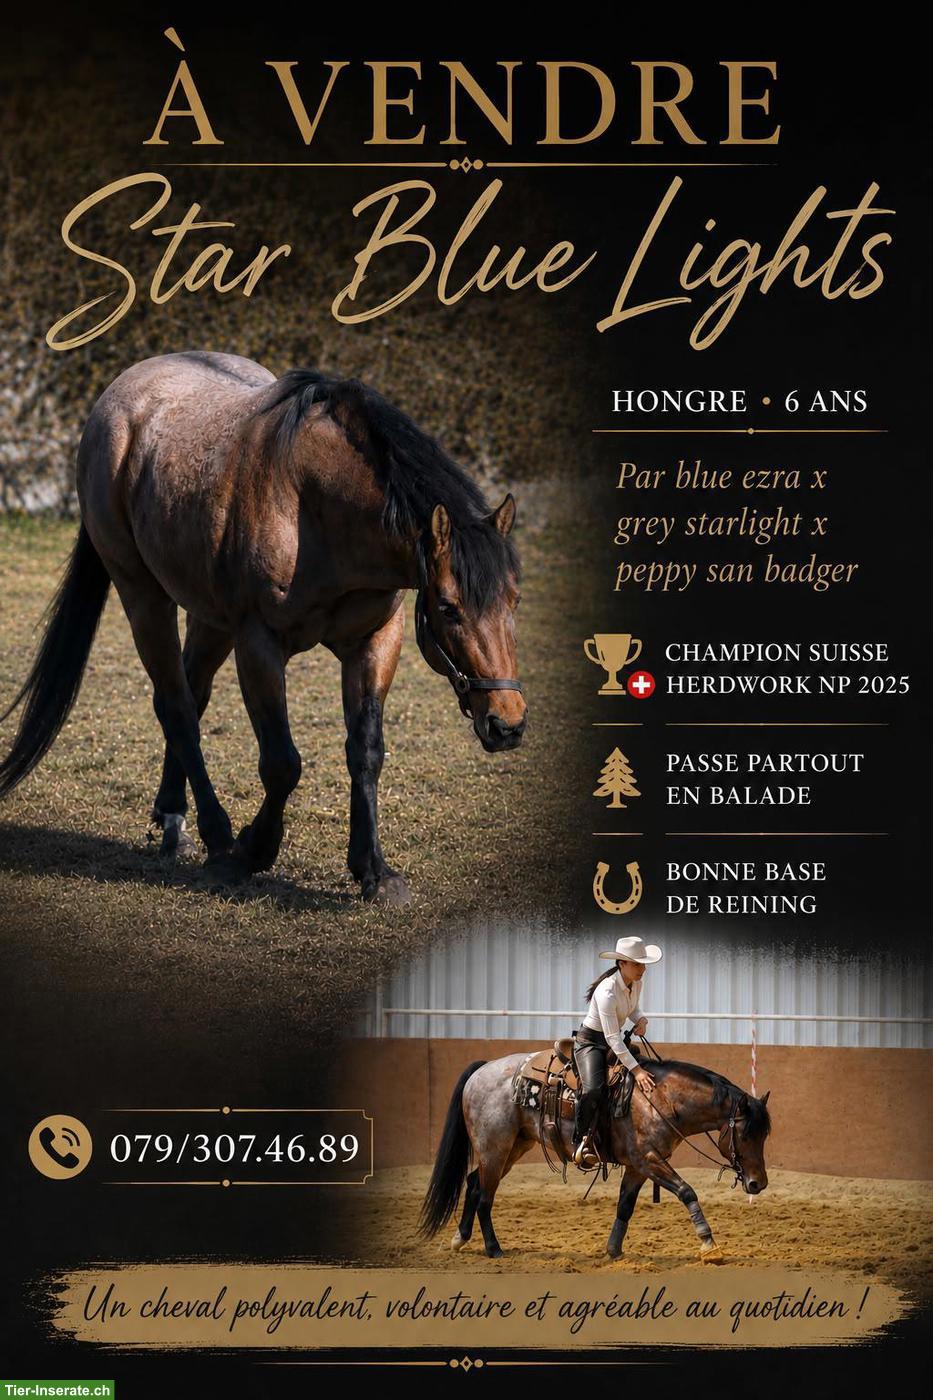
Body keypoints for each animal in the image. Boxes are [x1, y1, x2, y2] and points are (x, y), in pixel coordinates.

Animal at [0, 352, 526, 903]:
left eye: (515, 597)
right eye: (448, 607)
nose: (507, 723)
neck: (316, 506)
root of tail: (121, 394)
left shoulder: (376, 640)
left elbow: (366, 752)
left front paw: (375, 872)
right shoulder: (259, 645)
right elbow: (282, 763)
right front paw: (252, 850)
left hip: (210, 617)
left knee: (191, 694)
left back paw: (173, 820)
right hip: (143, 595)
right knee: (177, 707)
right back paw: (216, 839)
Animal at [420, 1052, 771, 1261]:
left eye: (765, 1134)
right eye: (746, 1134)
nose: (758, 1184)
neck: (659, 1098)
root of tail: (481, 1070)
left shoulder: (639, 1165)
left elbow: (625, 1206)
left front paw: (614, 1250)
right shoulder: (648, 1159)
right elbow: (687, 1191)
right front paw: (708, 1243)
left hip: (513, 1147)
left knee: (474, 1183)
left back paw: (460, 1238)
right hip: (495, 1148)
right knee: (484, 1196)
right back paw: (494, 1249)